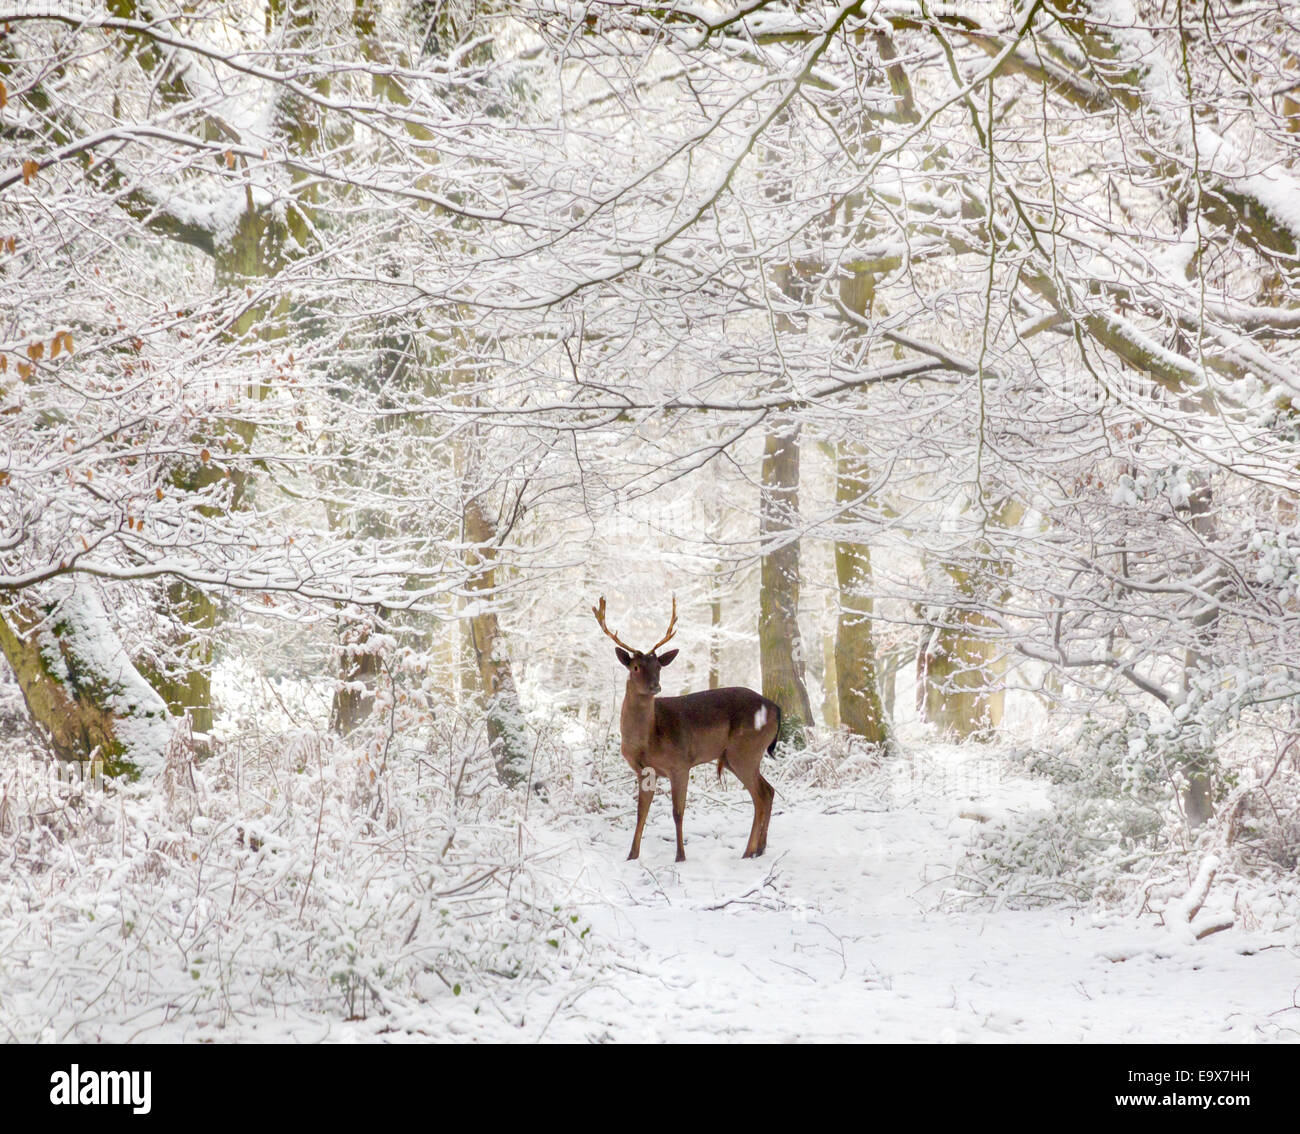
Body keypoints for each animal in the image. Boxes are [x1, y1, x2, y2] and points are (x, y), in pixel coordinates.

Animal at [595, 593, 774, 858]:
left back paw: (748, 851)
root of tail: (777, 709)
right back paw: (759, 849)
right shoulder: (644, 770)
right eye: (635, 667)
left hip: (746, 751)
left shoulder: (680, 764)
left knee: (760, 795)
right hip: (735, 757)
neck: (648, 738)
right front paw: (631, 856)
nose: (655, 686)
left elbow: (677, 812)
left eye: (658, 666)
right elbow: (640, 813)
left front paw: (680, 856)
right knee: (768, 791)